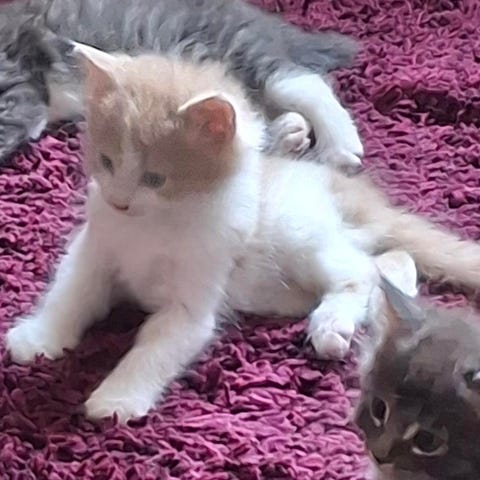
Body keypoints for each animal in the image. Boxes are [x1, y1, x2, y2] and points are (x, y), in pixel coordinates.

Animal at [6, 44, 480, 422]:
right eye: (105, 161)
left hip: (302, 237)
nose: (120, 202)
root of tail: (347, 189)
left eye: (155, 179)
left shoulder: (192, 302)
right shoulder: (93, 250)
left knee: (361, 271)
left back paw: (332, 326)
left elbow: (154, 347)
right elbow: (70, 293)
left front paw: (117, 398)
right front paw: (39, 336)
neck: (150, 226)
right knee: (393, 261)